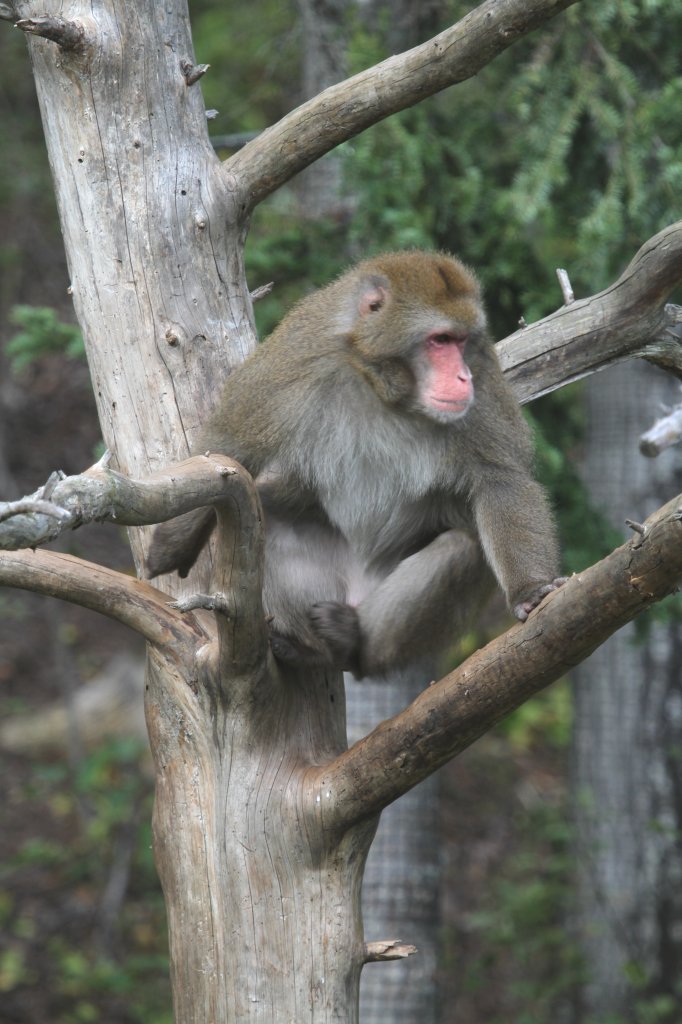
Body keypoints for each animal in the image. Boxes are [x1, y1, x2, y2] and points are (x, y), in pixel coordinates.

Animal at [150, 248, 561, 679]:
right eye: (440, 340)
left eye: (462, 342)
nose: (464, 377)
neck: (380, 382)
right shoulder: (295, 358)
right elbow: (230, 445)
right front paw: (175, 541)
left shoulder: (483, 375)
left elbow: (500, 480)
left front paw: (530, 592)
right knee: (268, 519)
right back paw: (310, 650)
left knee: (459, 548)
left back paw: (350, 644)